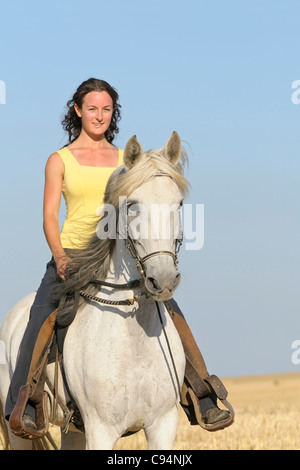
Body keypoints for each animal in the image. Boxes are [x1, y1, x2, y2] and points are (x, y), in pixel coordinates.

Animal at [0, 132, 189, 452]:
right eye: (133, 205)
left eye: (178, 204)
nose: (163, 279)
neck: (134, 339)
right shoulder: (101, 430)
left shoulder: (163, 425)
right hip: (20, 431)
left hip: (73, 430)